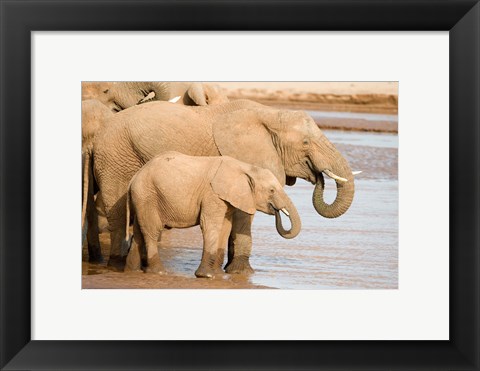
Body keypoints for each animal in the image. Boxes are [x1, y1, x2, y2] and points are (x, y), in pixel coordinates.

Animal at [125, 152, 302, 280]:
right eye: (271, 190)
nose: (276, 210)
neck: (245, 167)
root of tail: (134, 177)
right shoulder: (212, 194)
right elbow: (211, 225)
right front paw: (206, 275)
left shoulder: (227, 199)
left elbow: (225, 228)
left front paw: (218, 274)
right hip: (147, 194)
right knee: (152, 230)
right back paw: (159, 272)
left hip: (142, 198)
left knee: (140, 231)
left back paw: (132, 270)